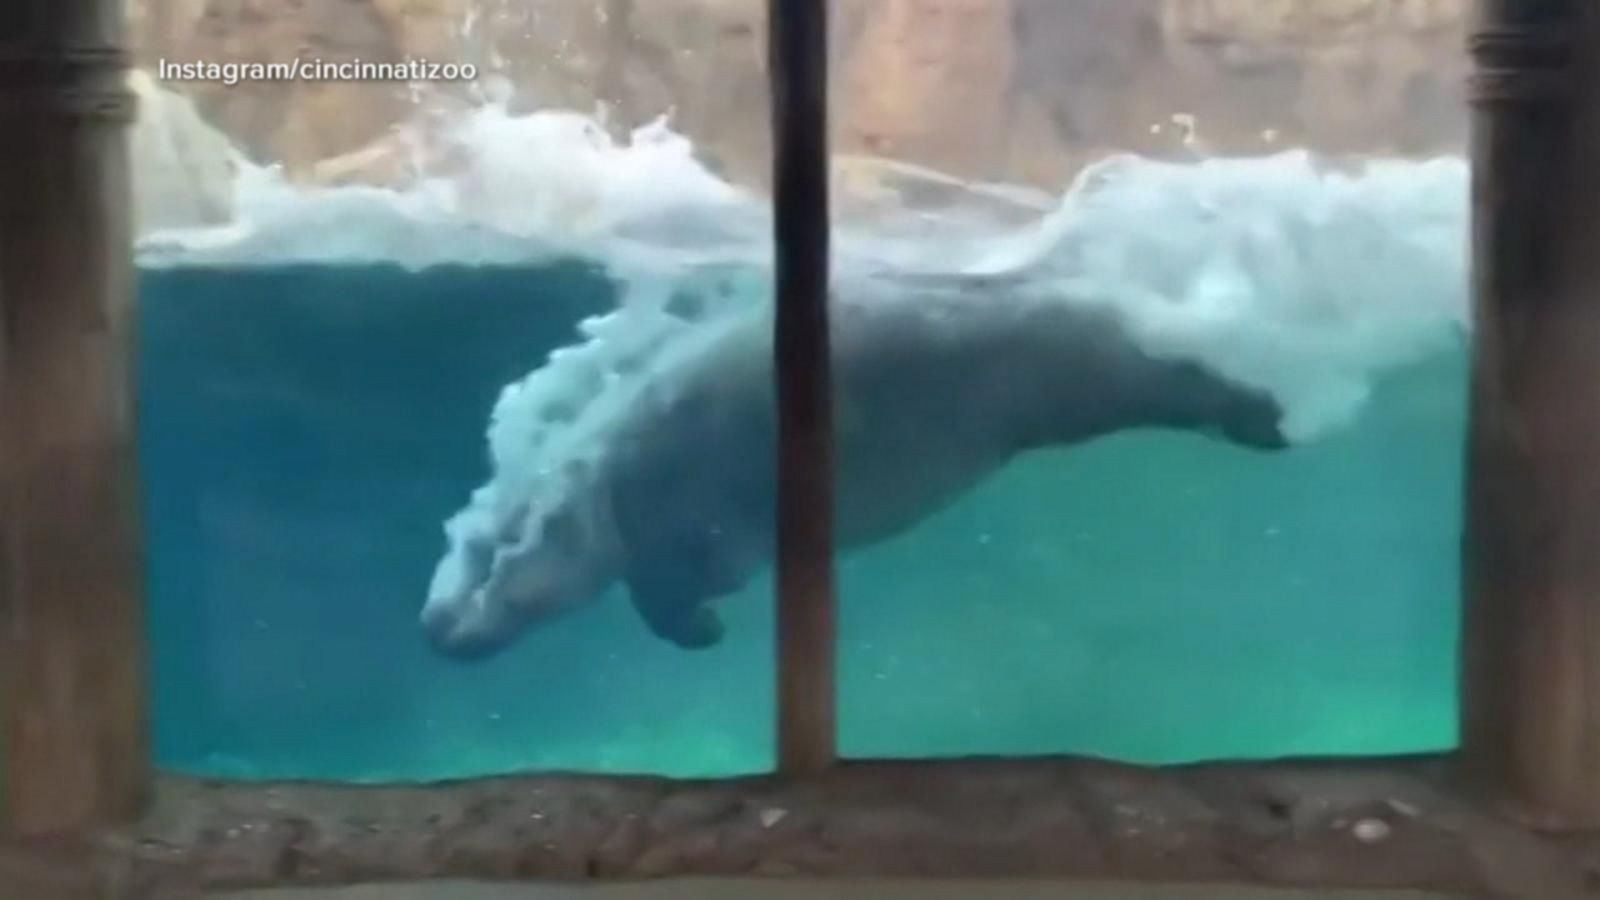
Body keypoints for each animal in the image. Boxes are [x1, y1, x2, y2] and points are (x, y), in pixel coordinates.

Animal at [416, 269, 1286, 656]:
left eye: (496, 548)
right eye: (458, 538)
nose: (431, 623)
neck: (586, 485)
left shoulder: (679, 530)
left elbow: (665, 594)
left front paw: (707, 627)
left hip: (1090, 381)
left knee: (1185, 381)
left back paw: (1269, 416)